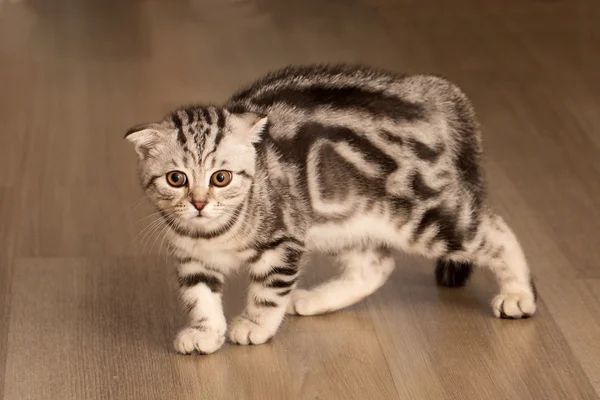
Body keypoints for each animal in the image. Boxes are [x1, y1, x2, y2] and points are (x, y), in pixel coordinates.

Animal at [124, 64, 536, 354]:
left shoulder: (283, 242)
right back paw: (315, 300)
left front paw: (255, 324)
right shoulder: (192, 258)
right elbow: (200, 298)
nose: (199, 203)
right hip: (341, 219)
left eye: (221, 178)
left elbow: (268, 292)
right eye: (176, 179)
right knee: (376, 264)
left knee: (496, 231)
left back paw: (520, 295)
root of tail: (427, 90)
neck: (215, 233)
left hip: (424, 216)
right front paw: (206, 332)